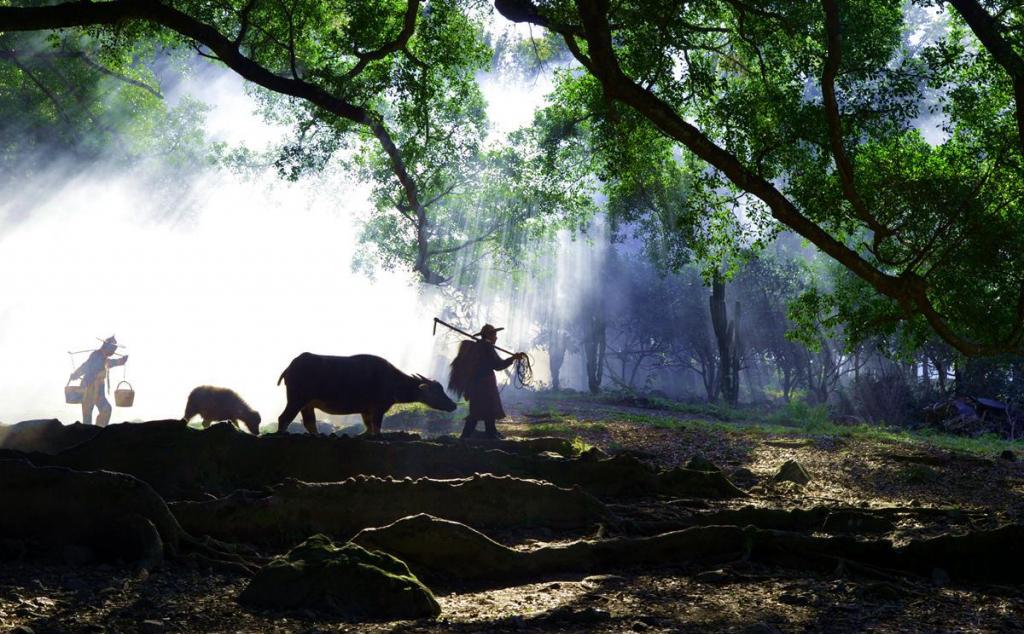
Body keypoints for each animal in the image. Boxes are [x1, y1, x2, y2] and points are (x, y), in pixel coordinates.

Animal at [278, 352, 458, 436]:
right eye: (437, 391)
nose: (453, 405)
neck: (392, 380)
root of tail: (290, 367)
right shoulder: (378, 409)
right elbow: (376, 430)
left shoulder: (366, 411)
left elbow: (368, 429)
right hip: (296, 399)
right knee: (284, 418)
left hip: (306, 404)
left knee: (309, 422)